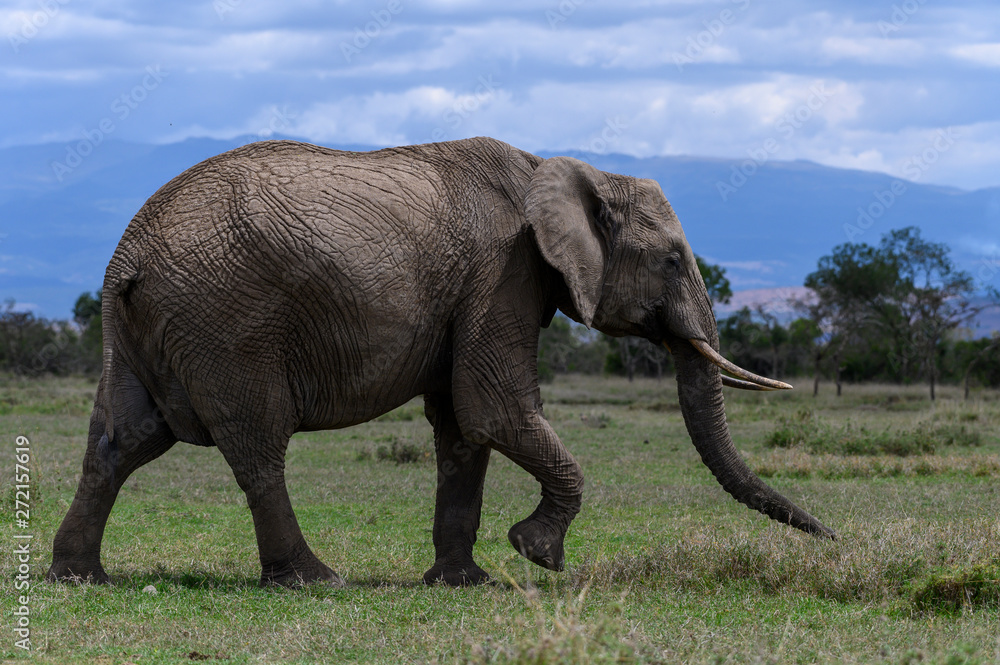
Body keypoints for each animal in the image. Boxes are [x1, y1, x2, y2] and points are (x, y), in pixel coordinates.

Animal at [48, 137, 834, 588]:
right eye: (672, 260)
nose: (835, 538)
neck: (565, 168)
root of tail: (128, 255)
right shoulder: (504, 271)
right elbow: (495, 408)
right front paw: (536, 554)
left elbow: (463, 427)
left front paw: (466, 582)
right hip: (228, 321)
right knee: (257, 445)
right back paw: (314, 580)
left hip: (144, 324)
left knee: (121, 439)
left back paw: (77, 577)